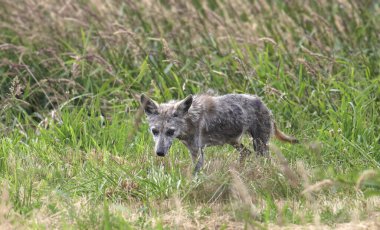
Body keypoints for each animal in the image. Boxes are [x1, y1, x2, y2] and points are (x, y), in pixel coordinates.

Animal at [141, 93, 298, 172]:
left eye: (170, 132)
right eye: (154, 131)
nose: (160, 153)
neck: (189, 120)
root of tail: (265, 105)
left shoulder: (198, 151)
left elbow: (194, 171)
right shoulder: (193, 150)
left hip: (260, 146)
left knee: (266, 161)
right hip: (235, 142)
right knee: (246, 153)